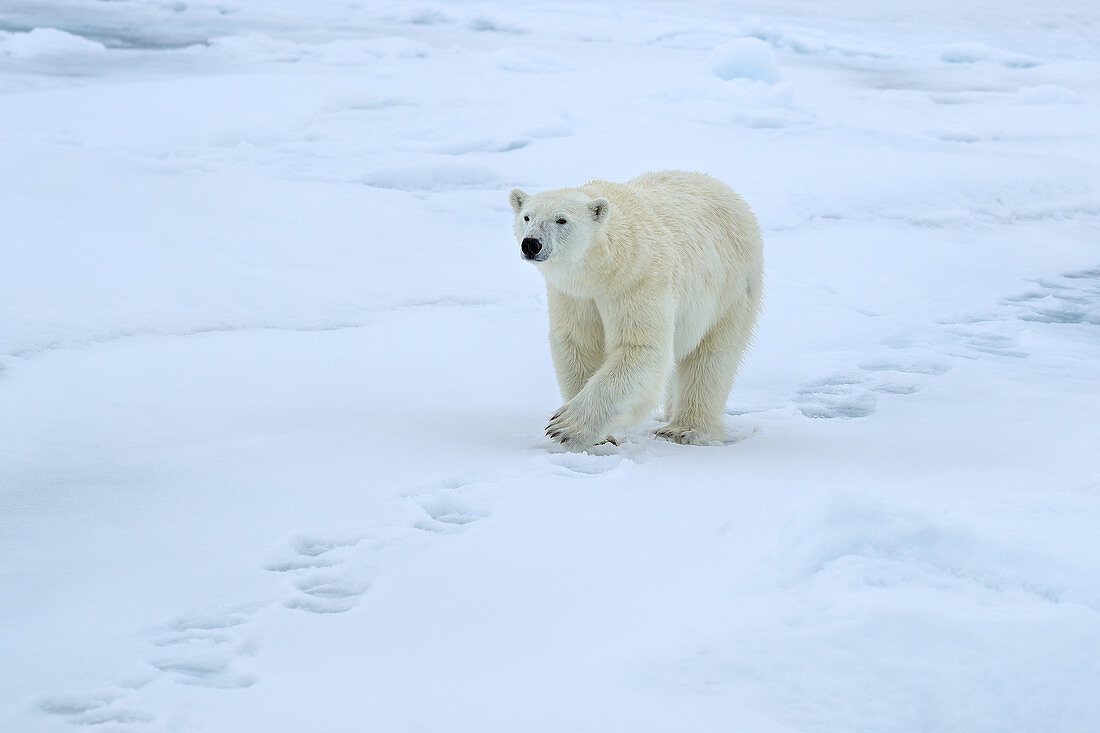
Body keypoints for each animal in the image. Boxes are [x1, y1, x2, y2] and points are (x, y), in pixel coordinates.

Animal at [508, 169, 761, 444]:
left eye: (561, 220)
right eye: (527, 216)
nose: (531, 243)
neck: (604, 268)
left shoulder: (638, 280)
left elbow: (640, 347)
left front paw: (565, 425)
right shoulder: (575, 295)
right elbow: (577, 343)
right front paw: (599, 436)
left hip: (730, 288)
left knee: (711, 358)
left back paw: (683, 429)